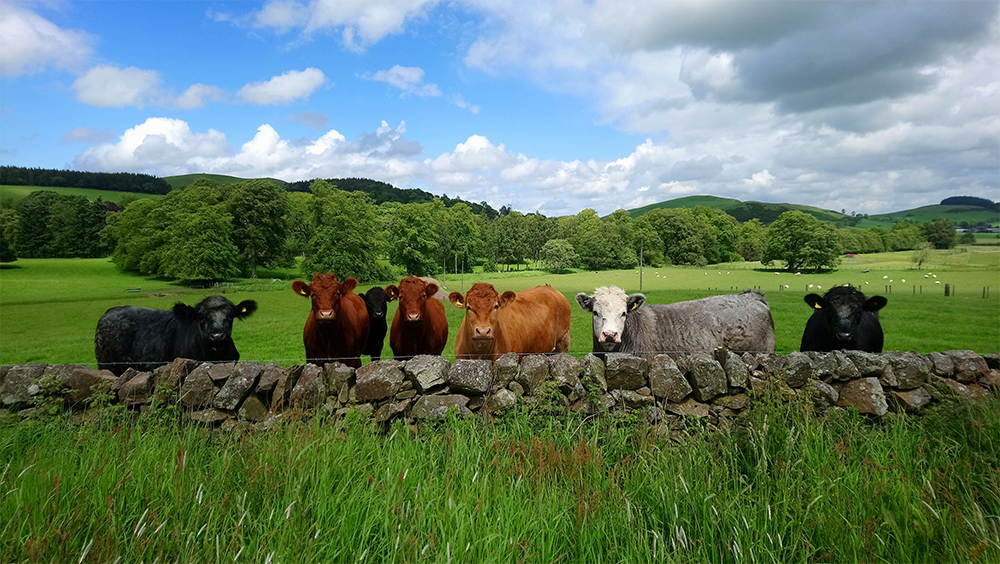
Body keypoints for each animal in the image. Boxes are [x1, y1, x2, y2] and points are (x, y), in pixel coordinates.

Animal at [95, 295, 258, 376]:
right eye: (201, 317)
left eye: (230, 316)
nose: (217, 336)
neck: (216, 357)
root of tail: (110, 311)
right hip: (108, 365)